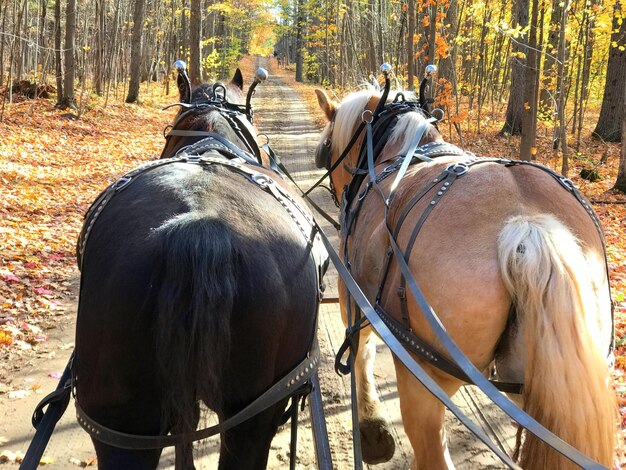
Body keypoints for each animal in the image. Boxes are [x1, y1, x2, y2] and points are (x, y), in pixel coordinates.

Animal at [314, 87, 612, 466]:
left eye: (328, 148)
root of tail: (526, 225)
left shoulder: (353, 294)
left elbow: (361, 352)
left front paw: (371, 429)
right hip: (550, 389)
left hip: (424, 377)